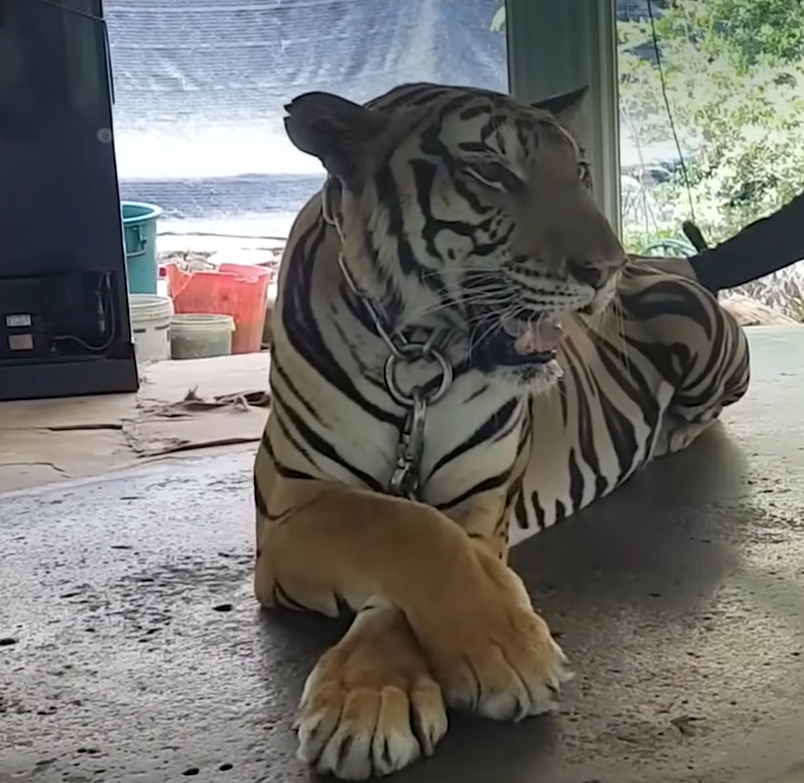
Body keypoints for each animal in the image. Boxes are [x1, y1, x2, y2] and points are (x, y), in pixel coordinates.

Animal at [252, 81, 751, 780]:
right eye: (492, 172)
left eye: (579, 173)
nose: (606, 268)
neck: (419, 356)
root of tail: (667, 263)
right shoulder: (290, 508)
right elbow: (404, 528)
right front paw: (369, 702)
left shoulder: (483, 506)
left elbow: (424, 555)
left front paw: (482, 664)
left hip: (705, 336)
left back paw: (667, 434)